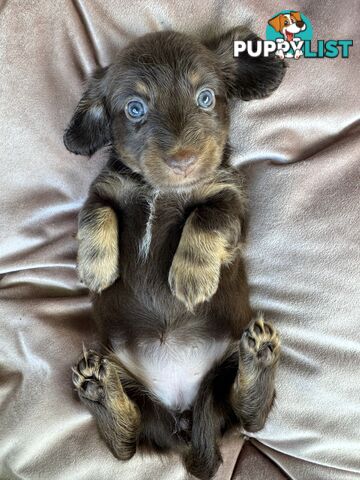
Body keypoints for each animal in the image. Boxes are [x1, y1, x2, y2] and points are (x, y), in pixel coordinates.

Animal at [65, 27, 284, 480]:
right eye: (135, 108)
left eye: (206, 97)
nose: (183, 160)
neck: (159, 187)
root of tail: (183, 416)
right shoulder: (106, 189)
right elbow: (94, 212)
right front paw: (95, 267)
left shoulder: (231, 202)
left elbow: (204, 217)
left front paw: (191, 278)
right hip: (132, 385)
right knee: (126, 443)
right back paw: (97, 390)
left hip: (223, 373)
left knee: (250, 417)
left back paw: (260, 358)